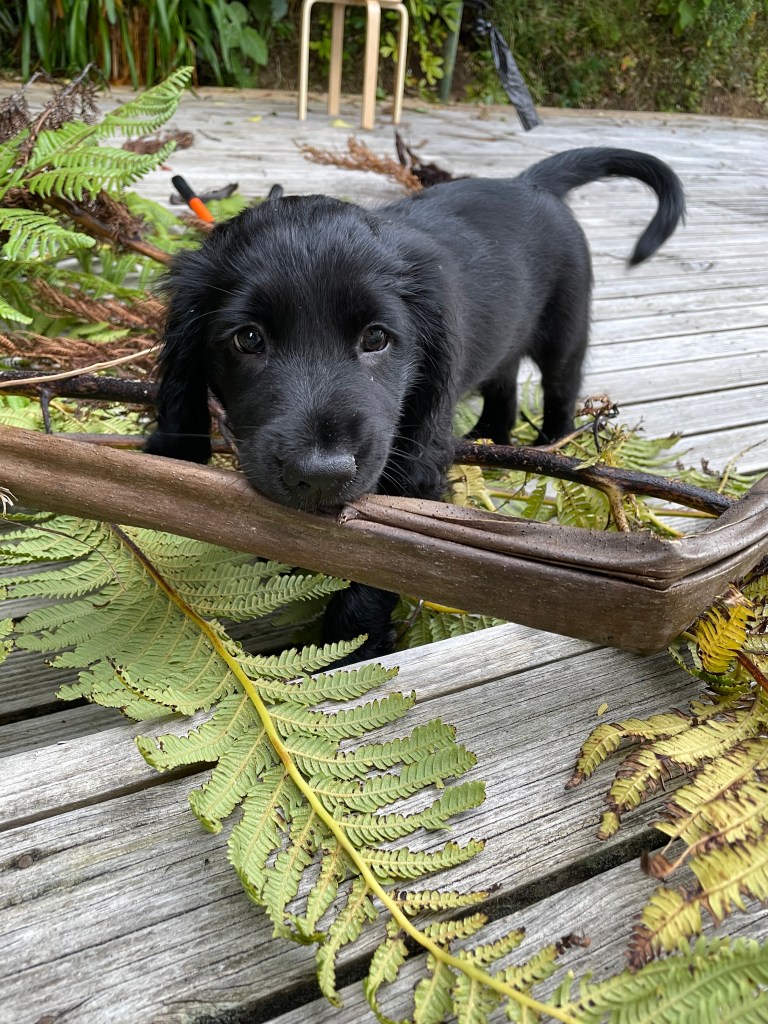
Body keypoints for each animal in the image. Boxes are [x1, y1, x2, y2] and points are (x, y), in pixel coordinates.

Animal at [146, 147, 685, 659]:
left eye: (376, 338)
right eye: (249, 339)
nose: (321, 474)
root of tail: (529, 182)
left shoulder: (412, 465)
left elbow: (380, 563)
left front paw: (351, 649)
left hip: (563, 334)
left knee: (561, 390)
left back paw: (551, 443)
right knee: (504, 385)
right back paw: (489, 437)